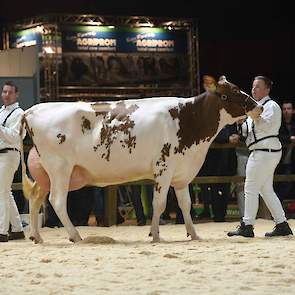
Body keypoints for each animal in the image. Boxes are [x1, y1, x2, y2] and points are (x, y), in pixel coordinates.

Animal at [20, 75, 264, 243]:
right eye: (229, 93)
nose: (259, 107)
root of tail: (31, 110)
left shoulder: (181, 174)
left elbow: (185, 205)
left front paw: (194, 234)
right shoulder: (163, 168)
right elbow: (160, 203)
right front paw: (155, 234)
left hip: (46, 172)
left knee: (36, 197)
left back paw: (37, 237)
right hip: (60, 168)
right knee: (57, 201)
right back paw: (76, 236)